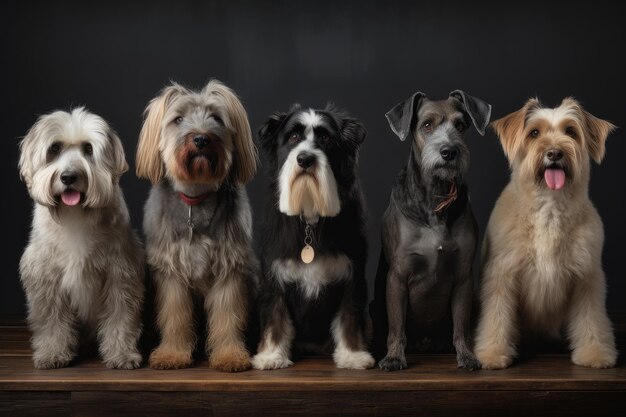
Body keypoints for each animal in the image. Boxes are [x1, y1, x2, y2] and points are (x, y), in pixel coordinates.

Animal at [251, 105, 372, 368]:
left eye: (326, 138)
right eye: (293, 137)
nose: (305, 159)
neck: (309, 219)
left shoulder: (353, 276)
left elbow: (349, 316)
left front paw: (353, 355)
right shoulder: (273, 278)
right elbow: (275, 317)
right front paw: (271, 355)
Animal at [368, 89, 490, 368]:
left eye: (460, 125)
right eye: (426, 125)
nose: (449, 151)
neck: (436, 197)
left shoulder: (464, 277)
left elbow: (460, 326)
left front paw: (466, 355)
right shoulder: (397, 276)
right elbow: (397, 327)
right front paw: (394, 357)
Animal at [472, 96, 616, 368]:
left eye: (570, 131)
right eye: (534, 133)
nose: (554, 153)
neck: (549, 208)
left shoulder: (587, 277)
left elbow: (591, 318)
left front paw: (594, 353)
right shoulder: (502, 275)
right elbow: (496, 316)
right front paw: (493, 354)